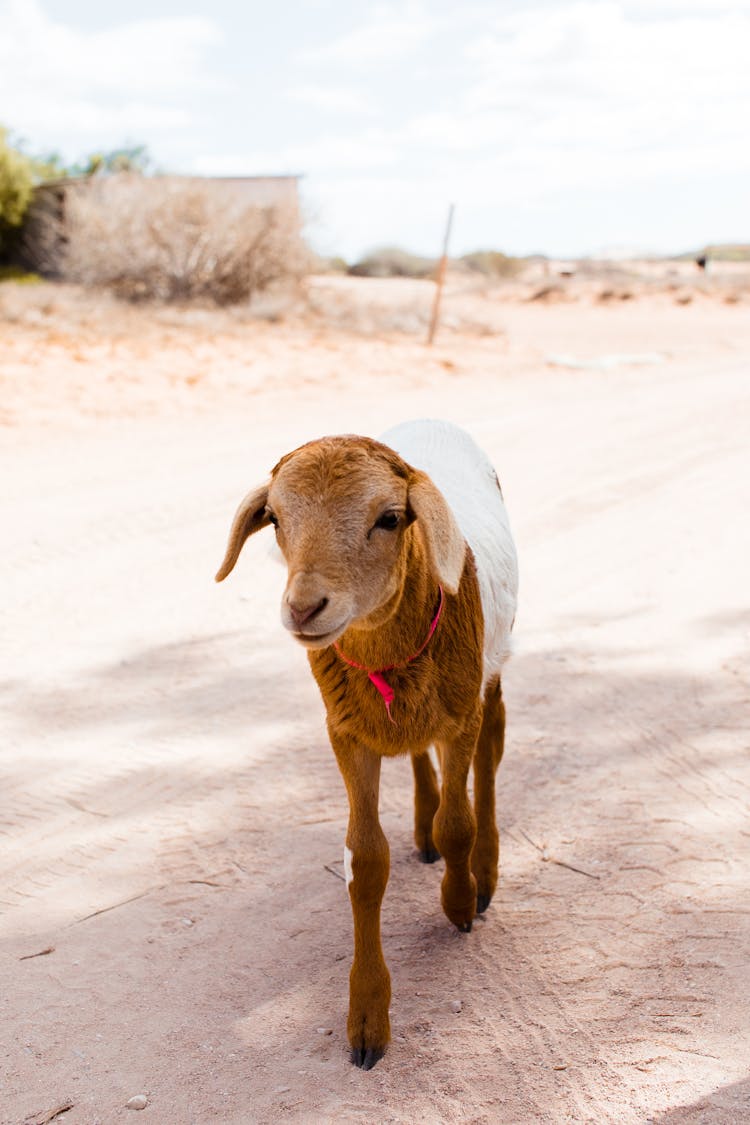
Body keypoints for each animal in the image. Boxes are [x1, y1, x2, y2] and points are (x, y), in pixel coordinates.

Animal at [215, 418, 517, 1066]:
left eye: (391, 517)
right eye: (274, 518)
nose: (305, 608)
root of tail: (431, 420)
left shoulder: (459, 714)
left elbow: (459, 823)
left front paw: (459, 904)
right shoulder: (346, 730)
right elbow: (366, 860)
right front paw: (366, 1019)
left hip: (490, 669)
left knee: (492, 747)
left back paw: (484, 871)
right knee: (417, 752)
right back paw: (423, 828)